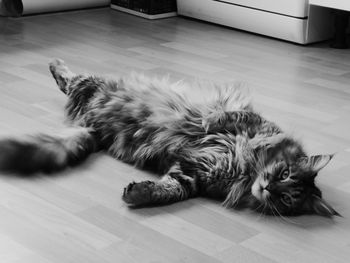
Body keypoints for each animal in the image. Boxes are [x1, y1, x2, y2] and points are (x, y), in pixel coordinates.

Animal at [0, 59, 340, 219]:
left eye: (287, 198)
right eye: (284, 173)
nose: (268, 188)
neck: (246, 173)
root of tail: (92, 124)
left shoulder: (194, 175)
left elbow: (171, 190)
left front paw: (138, 194)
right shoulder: (250, 122)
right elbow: (226, 117)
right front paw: (208, 121)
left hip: (88, 100)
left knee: (69, 84)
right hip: (92, 84)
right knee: (67, 77)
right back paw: (54, 61)